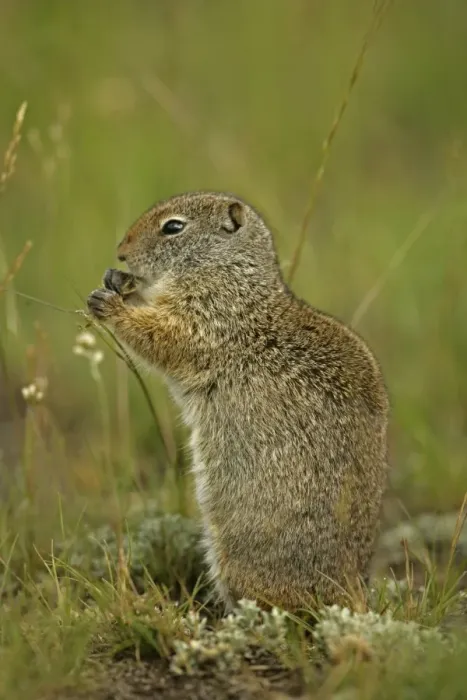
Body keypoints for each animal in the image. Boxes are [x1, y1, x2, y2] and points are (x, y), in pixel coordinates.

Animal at [87, 191, 389, 611]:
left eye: (173, 227)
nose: (121, 251)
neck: (233, 272)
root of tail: (351, 591)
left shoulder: (206, 315)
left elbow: (165, 336)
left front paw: (111, 303)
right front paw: (117, 280)